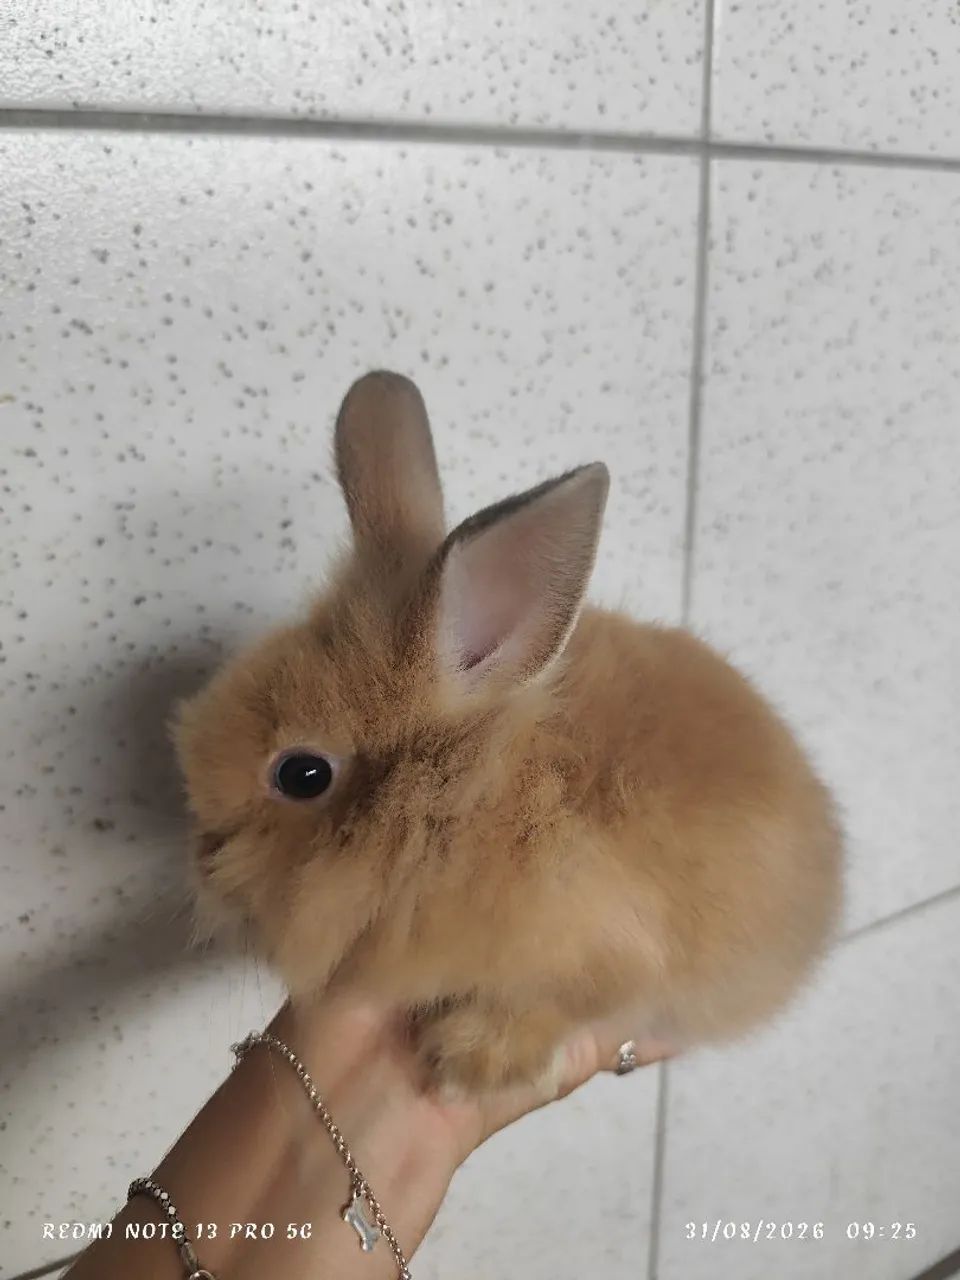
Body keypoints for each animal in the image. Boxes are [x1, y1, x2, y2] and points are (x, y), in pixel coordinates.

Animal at [174, 370, 843, 1095]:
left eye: (302, 774)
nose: (203, 861)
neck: (473, 798)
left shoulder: (609, 952)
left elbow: (568, 1004)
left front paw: (466, 1060)